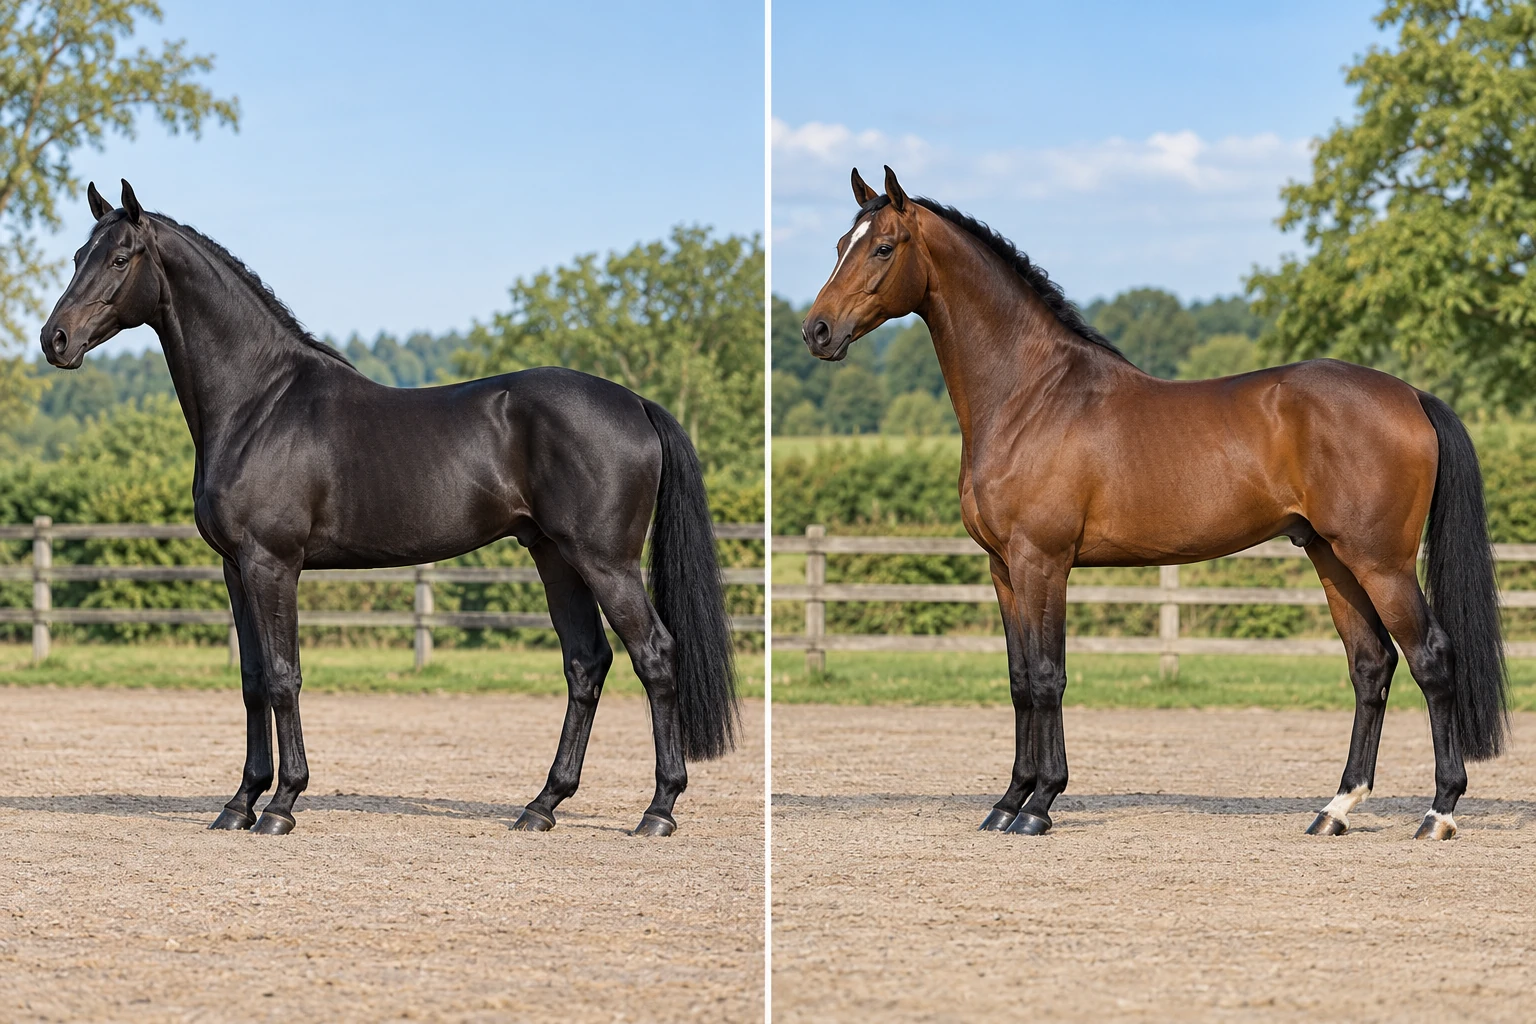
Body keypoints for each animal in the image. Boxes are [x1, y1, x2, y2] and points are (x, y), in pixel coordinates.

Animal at [39, 180, 737, 838]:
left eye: (120, 257)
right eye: (77, 255)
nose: (55, 339)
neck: (258, 403)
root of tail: (636, 403)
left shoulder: (272, 564)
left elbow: (284, 677)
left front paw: (282, 804)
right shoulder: (235, 568)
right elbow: (251, 680)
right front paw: (238, 804)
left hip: (605, 562)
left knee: (655, 656)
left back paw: (658, 809)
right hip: (555, 557)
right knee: (586, 664)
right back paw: (541, 806)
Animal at [800, 165, 1507, 841]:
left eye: (883, 247)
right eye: (838, 245)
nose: (817, 331)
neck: (1029, 395)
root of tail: (1412, 395)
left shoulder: (1042, 562)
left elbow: (1047, 676)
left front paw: (1040, 805)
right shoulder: (1003, 569)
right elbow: (1019, 681)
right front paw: (1007, 802)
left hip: (1380, 562)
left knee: (1431, 659)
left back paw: (1439, 813)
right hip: (1333, 558)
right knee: (1371, 666)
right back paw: (1335, 810)